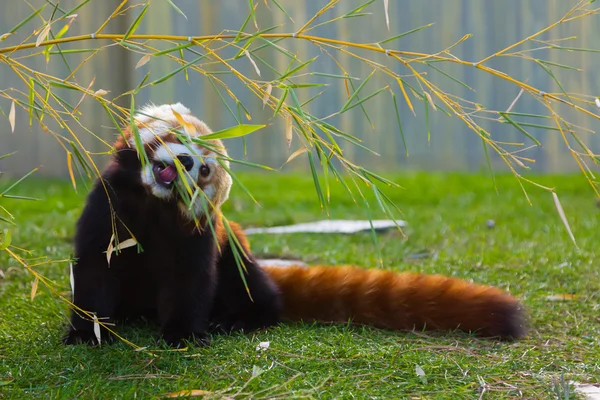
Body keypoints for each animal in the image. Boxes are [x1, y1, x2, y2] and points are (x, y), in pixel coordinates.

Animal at [63, 103, 528, 346]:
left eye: (205, 169)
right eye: (179, 140)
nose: (185, 162)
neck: (153, 207)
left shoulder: (199, 236)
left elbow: (190, 284)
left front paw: (184, 334)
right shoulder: (106, 210)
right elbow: (93, 273)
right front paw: (88, 332)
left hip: (236, 253)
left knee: (260, 293)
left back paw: (237, 319)